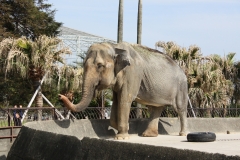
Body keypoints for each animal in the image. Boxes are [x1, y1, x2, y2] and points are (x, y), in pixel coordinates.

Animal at [59, 41, 188, 140]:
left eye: (100, 65)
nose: (60, 95)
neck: (115, 47)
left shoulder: (133, 73)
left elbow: (124, 99)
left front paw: (121, 137)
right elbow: (116, 101)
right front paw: (119, 128)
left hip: (181, 87)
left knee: (180, 108)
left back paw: (182, 134)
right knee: (157, 108)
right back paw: (148, 135)